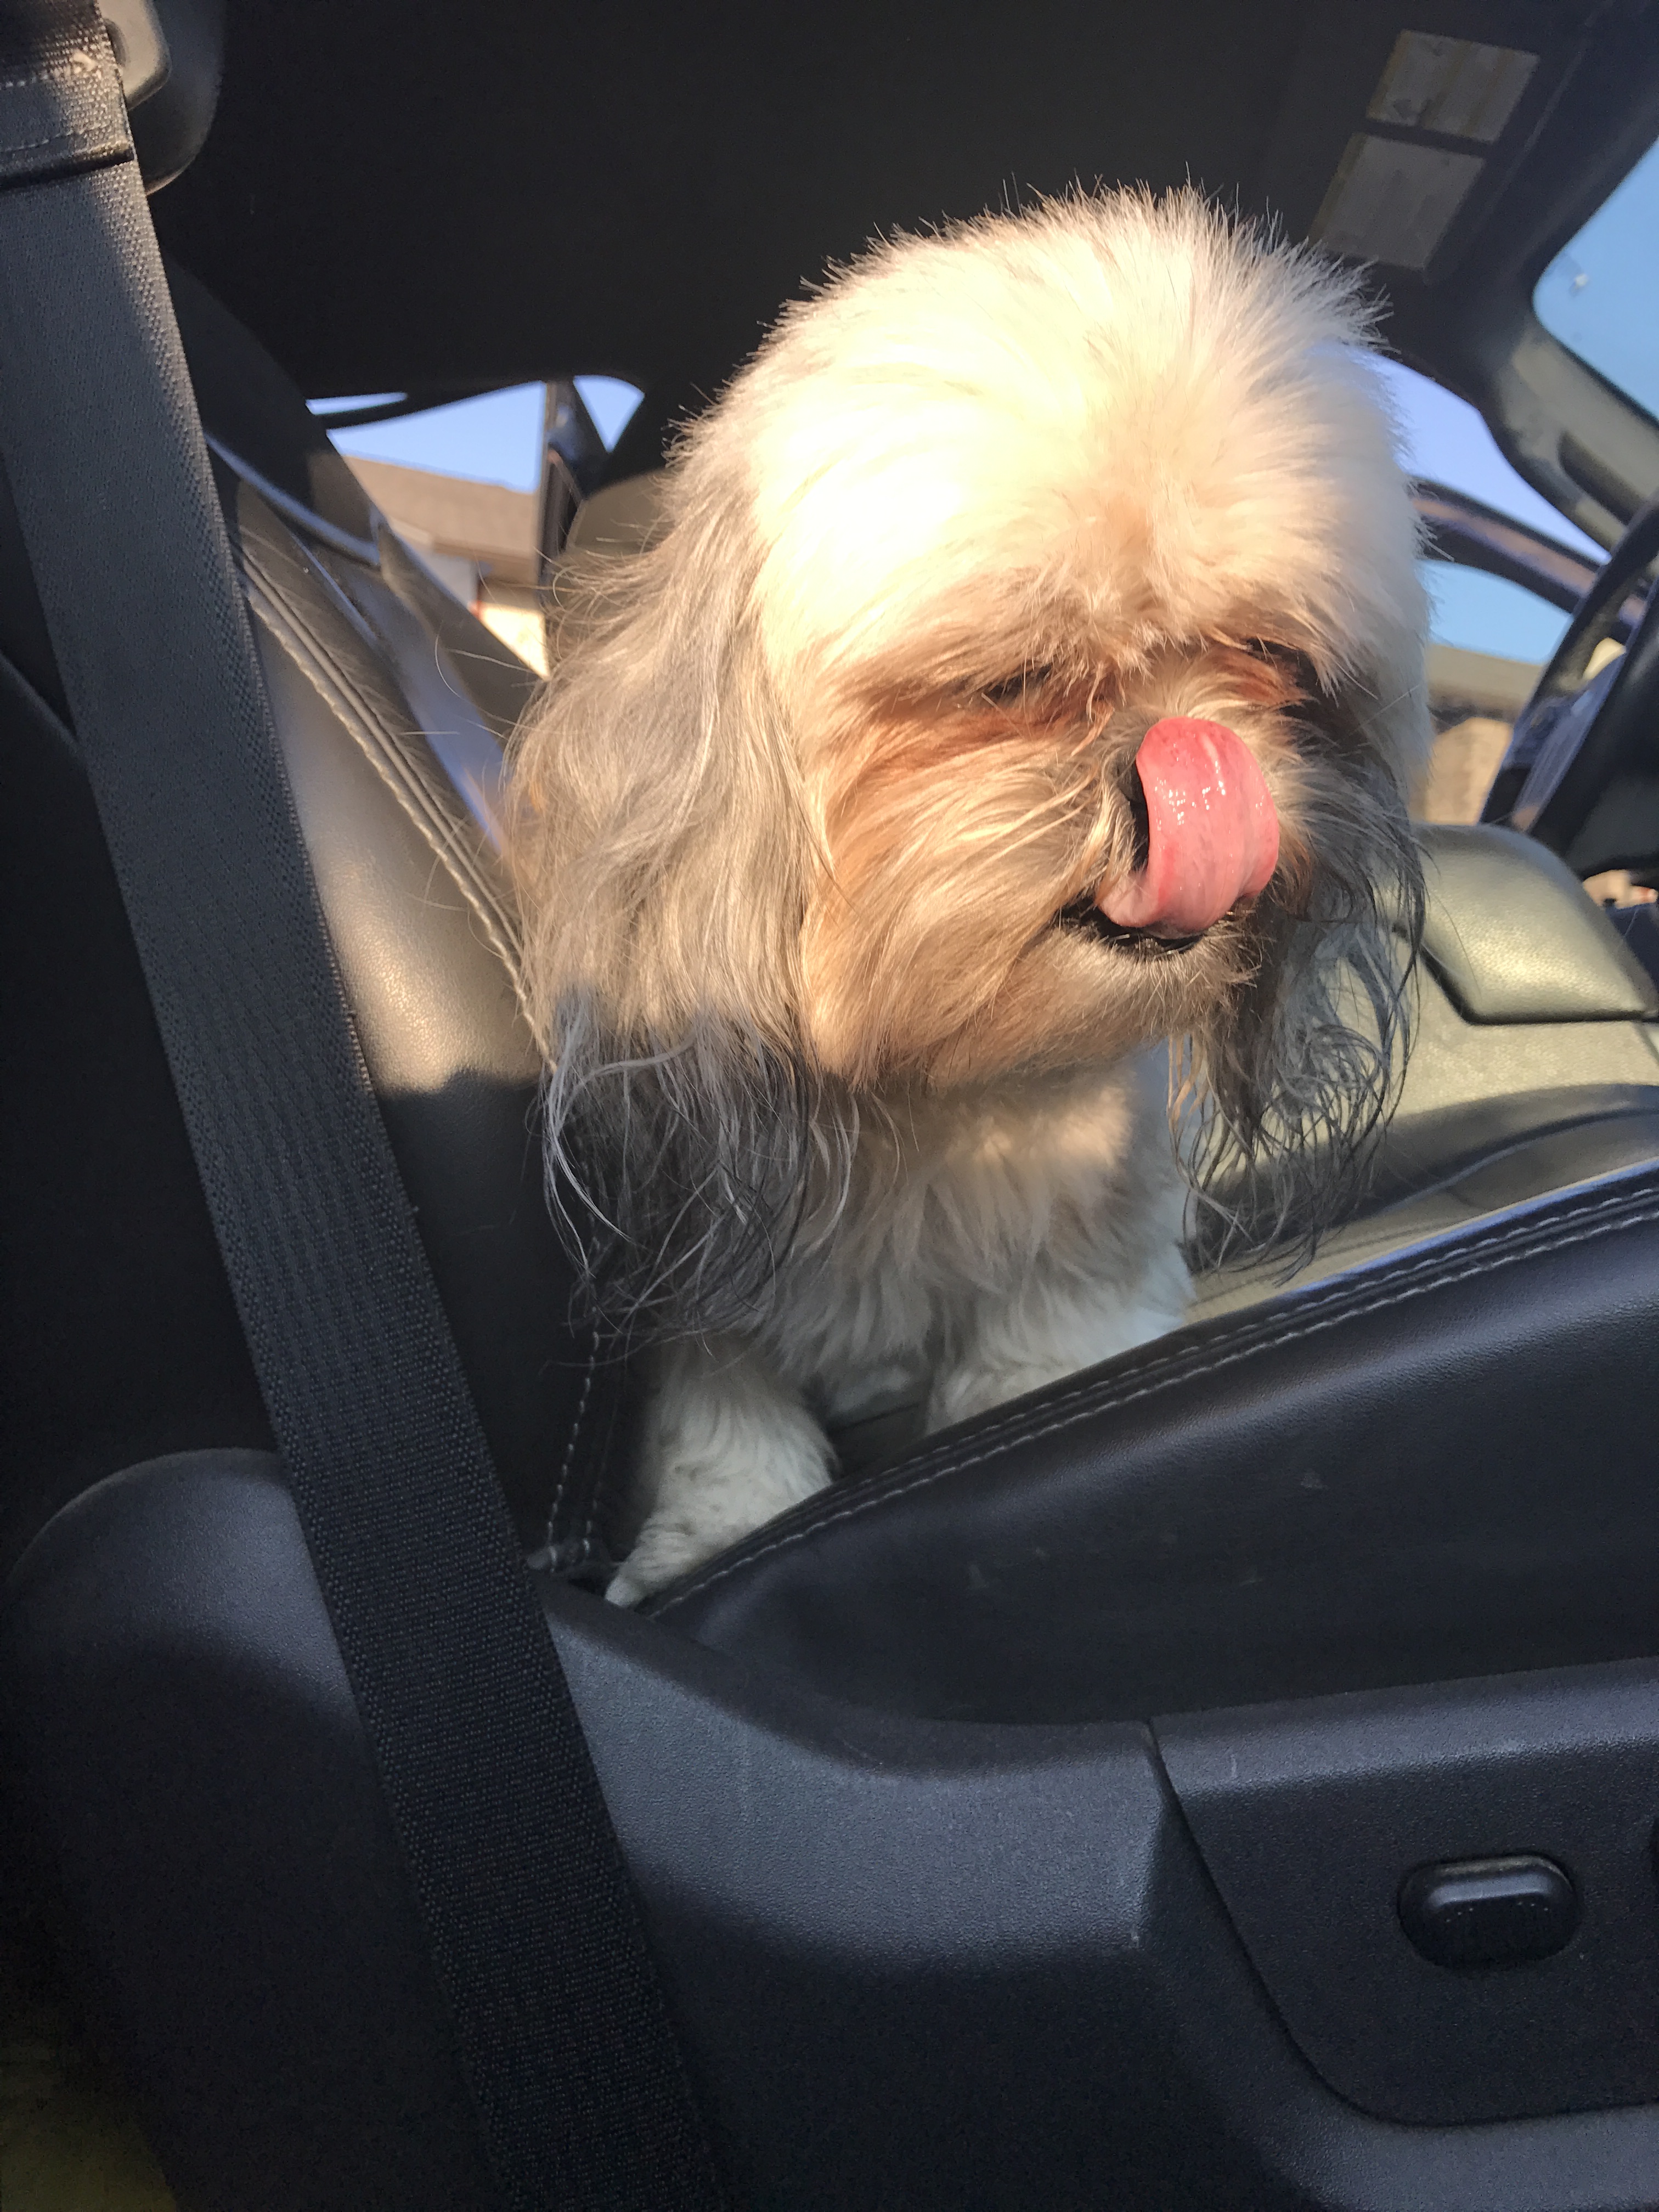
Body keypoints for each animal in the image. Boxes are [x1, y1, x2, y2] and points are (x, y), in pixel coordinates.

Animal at [507, 190, 1429, 1604]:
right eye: (1010, 683)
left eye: (1269, 658)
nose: (1198, 765)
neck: (936, 1092)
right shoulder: (694, 1257)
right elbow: (728, 1423)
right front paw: (710, 1537)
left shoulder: (1087, 1267)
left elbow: (1033, 1367)